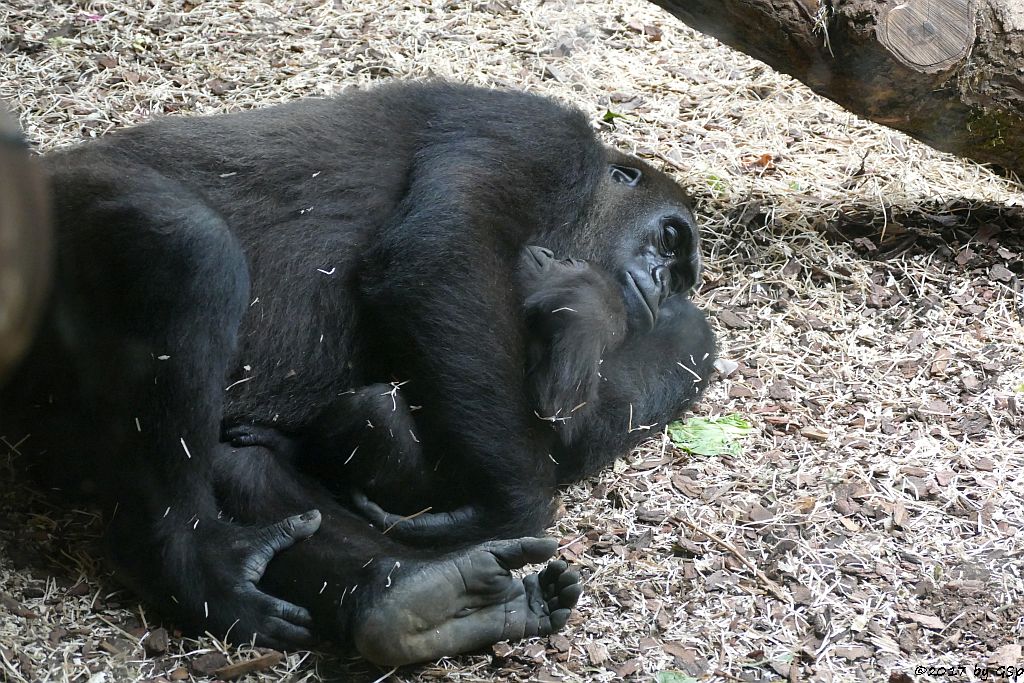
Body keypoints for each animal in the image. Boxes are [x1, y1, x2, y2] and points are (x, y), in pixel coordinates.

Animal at [2, 81, 712, 663]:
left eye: (679, 274)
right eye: (669, 239)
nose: (659, 284)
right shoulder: (539, 137)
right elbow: (441, 253)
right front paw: (504, 509)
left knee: (238, 459)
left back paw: (411, 603)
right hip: (42, 226)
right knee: (187, 251)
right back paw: (181, 562)